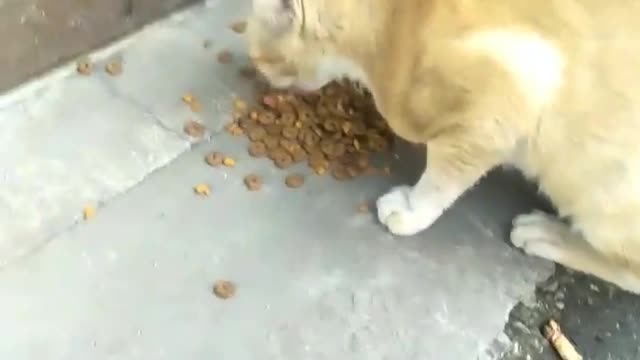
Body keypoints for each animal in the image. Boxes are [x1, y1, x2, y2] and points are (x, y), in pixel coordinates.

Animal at [248, 0, 640, 294]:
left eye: (262, 57)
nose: (263, 78)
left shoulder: (505, 97)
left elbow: (441, 179)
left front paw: (410, 210)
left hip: (604, 189)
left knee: (628, 273)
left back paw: (548, 235)